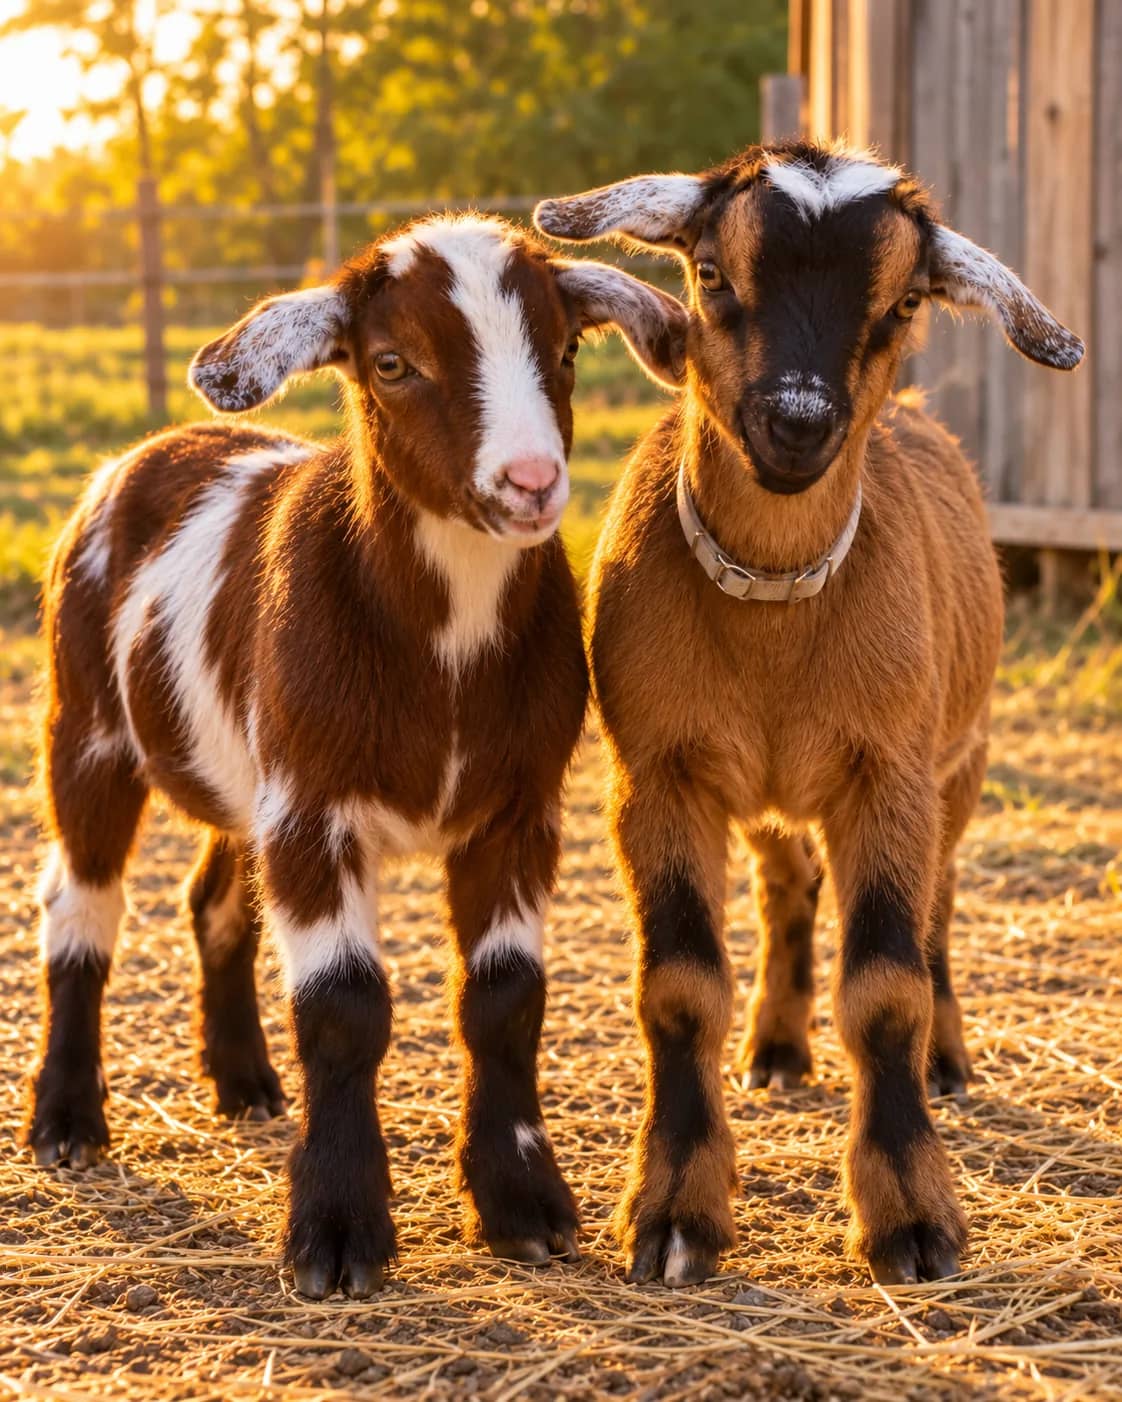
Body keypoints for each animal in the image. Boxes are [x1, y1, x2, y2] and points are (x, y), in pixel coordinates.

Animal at [26, 213, 687, 1299]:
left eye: (565, 351)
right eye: (391, 362)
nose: (531, 483)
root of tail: (148, 450)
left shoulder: (517, 807)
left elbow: (506, 999)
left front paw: (523, 1207)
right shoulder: (312, 806)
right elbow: (342, 1006)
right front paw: (337, 1234)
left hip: (241, 766)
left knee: (214, 901)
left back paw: (244, 1081)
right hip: (85, 726)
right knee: (81, 903)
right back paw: (68, 1121)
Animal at [534, 142, 1084, 1287]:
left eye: (906, 299)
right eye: (709, 271)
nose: (796, 422)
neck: (778, 616)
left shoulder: (891, 772)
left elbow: (885, 985)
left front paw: (912, 1219)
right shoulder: (658, 773)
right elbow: (679, 983)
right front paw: (674, 1213)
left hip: (960, 764)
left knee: (939, 909)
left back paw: (949, 1057)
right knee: (787, 887)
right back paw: (779, 1048)